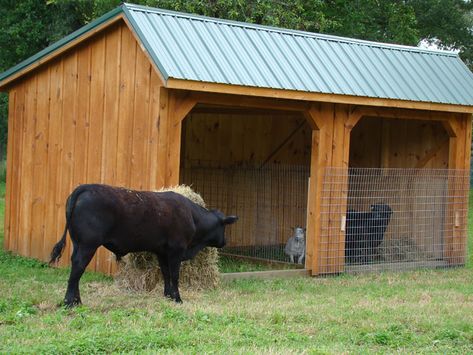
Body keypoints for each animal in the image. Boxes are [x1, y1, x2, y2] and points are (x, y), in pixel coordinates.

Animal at [49, 184, 238, 306]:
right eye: (223, 227)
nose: (225, 242)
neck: (192, 216)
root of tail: (85, 187)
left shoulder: (162, 252)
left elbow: (166, 274)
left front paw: (168, 296)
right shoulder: (176, 250)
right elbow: (174, 275)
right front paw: (178, 298)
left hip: (79, 243)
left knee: (76, 269)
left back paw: (76, 300)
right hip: (87, 245)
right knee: (78, 267)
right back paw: (70, 302)